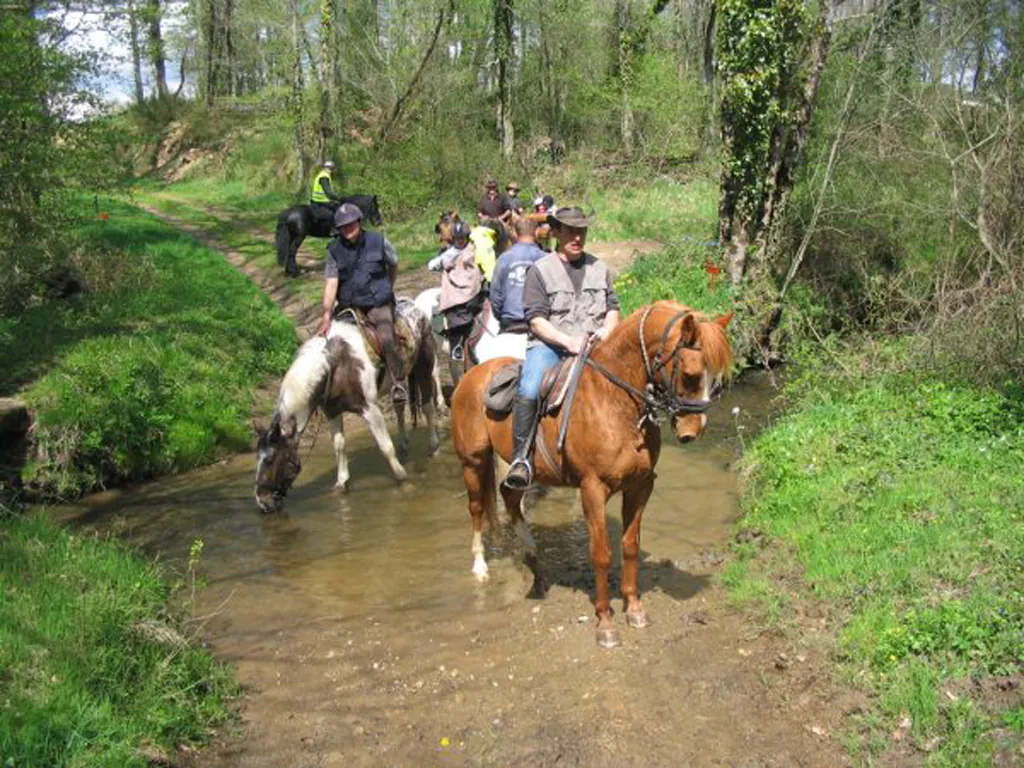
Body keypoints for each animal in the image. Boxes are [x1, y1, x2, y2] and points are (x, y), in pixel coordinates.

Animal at [452, 301, 733, 651]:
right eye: (691, 375)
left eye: (714, 378)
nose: (693, 431)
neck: (613, 401)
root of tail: (473, 375)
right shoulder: (592, 489)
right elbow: (601, 554)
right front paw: (606, 624)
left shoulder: (640, 486)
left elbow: (630, 546)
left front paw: (635, 609)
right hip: (473, 462)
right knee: (477, 508)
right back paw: (480, 567)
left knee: (510, 498)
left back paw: (531, 554)